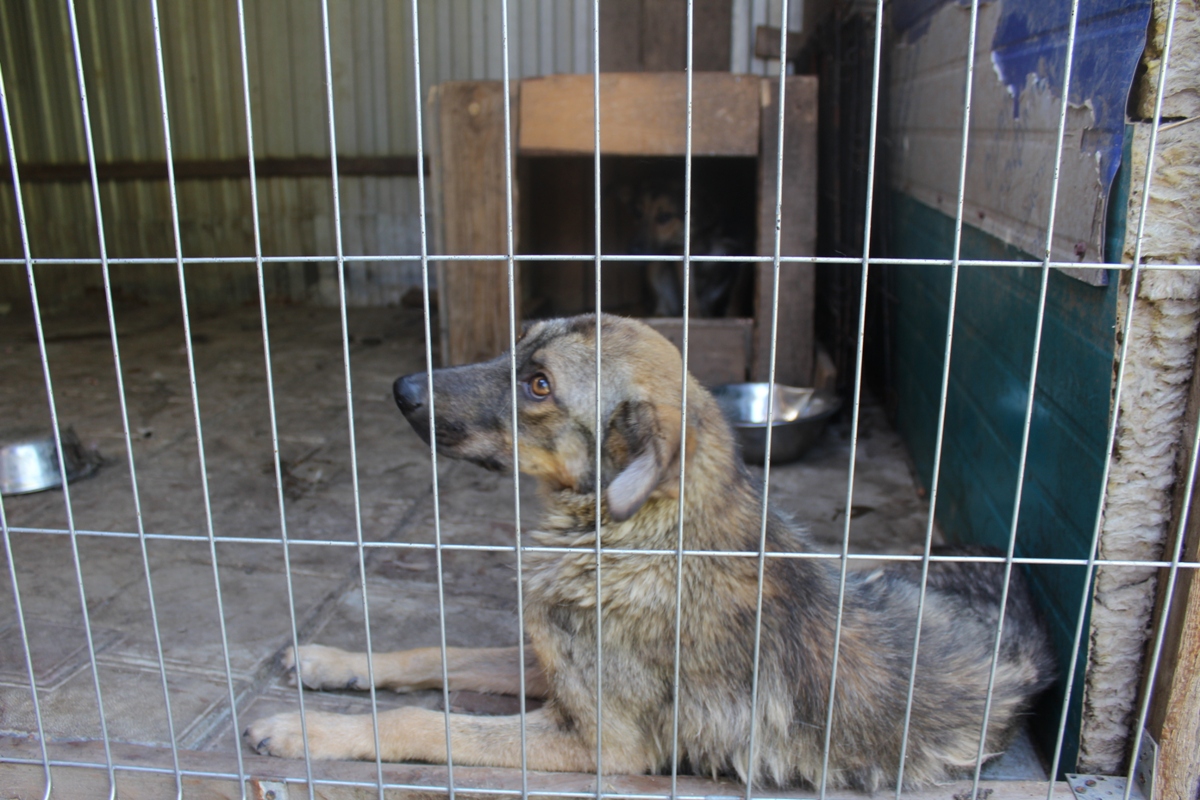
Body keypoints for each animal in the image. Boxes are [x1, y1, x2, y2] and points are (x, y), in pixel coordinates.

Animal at [241, 314, 1051, 796]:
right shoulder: (551, 665)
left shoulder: (599, 742)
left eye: (539, 384)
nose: (401, 387)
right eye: (518, 346)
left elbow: (423, 723)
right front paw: (331, 662)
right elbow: (438, 653)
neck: (631, 538)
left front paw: (306, 731)